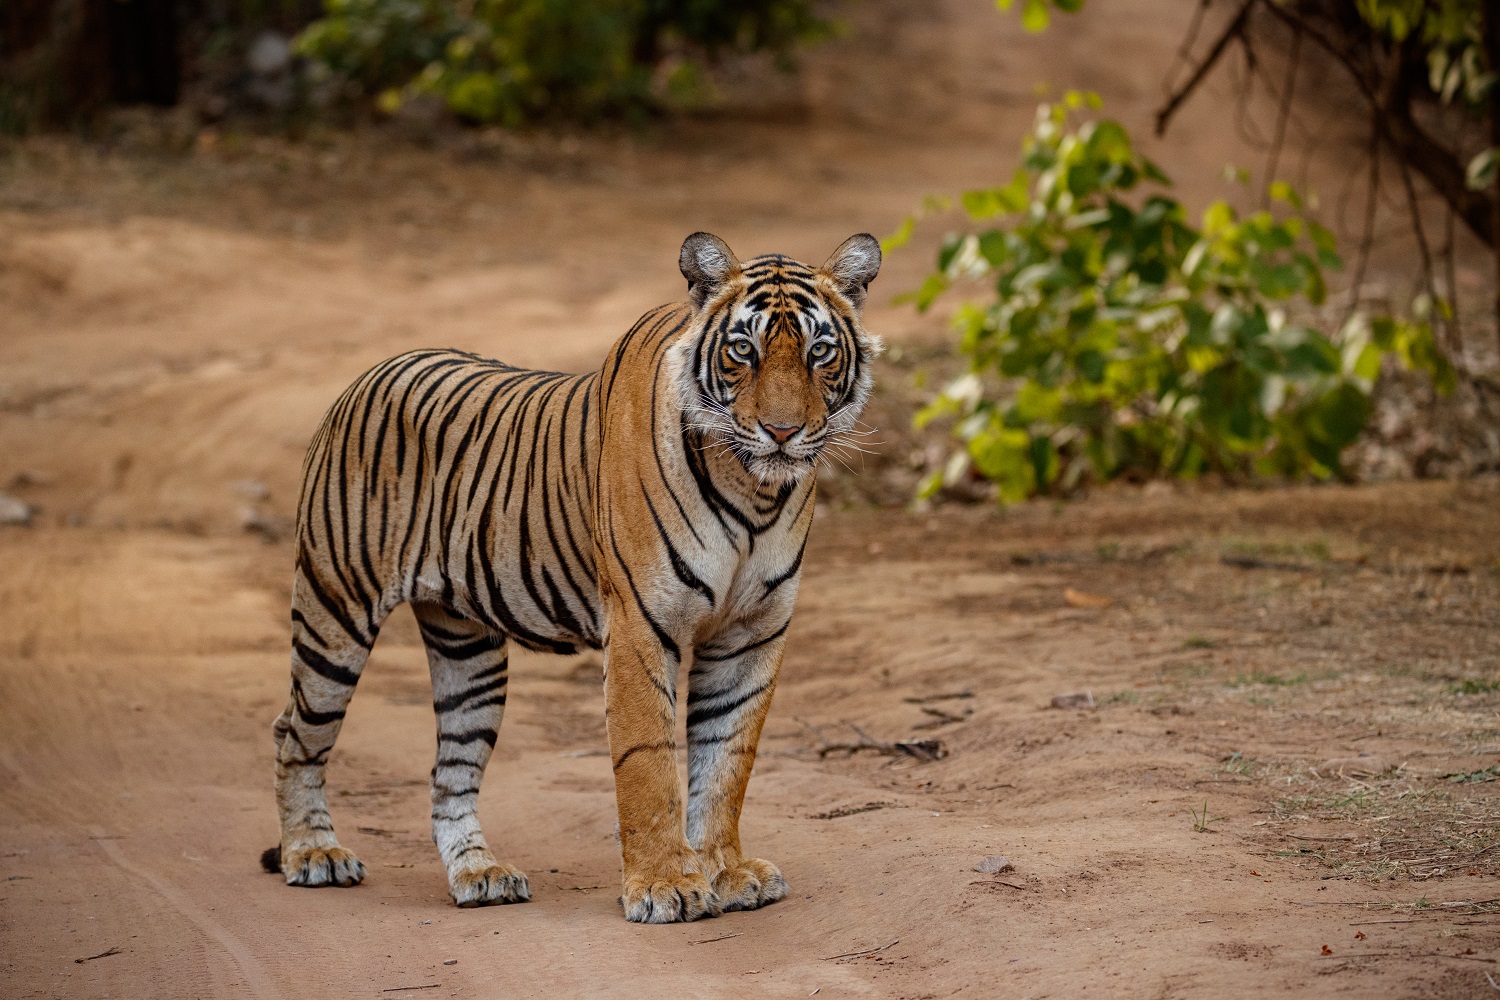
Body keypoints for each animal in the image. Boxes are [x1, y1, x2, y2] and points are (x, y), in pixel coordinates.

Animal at [263, 231, 882, 923]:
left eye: (819, 351)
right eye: (742, 350)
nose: (782, 432)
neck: (755, 493)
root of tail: (368, 374)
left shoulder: (752, 635)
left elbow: (727, 761)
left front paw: (726, 871)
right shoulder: (643, 626)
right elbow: (648, 763)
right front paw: (665, 886)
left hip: (468, 655)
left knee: (450, 773)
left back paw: (480, 873)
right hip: (334, 612)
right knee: (294, 734)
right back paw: (313, 854)